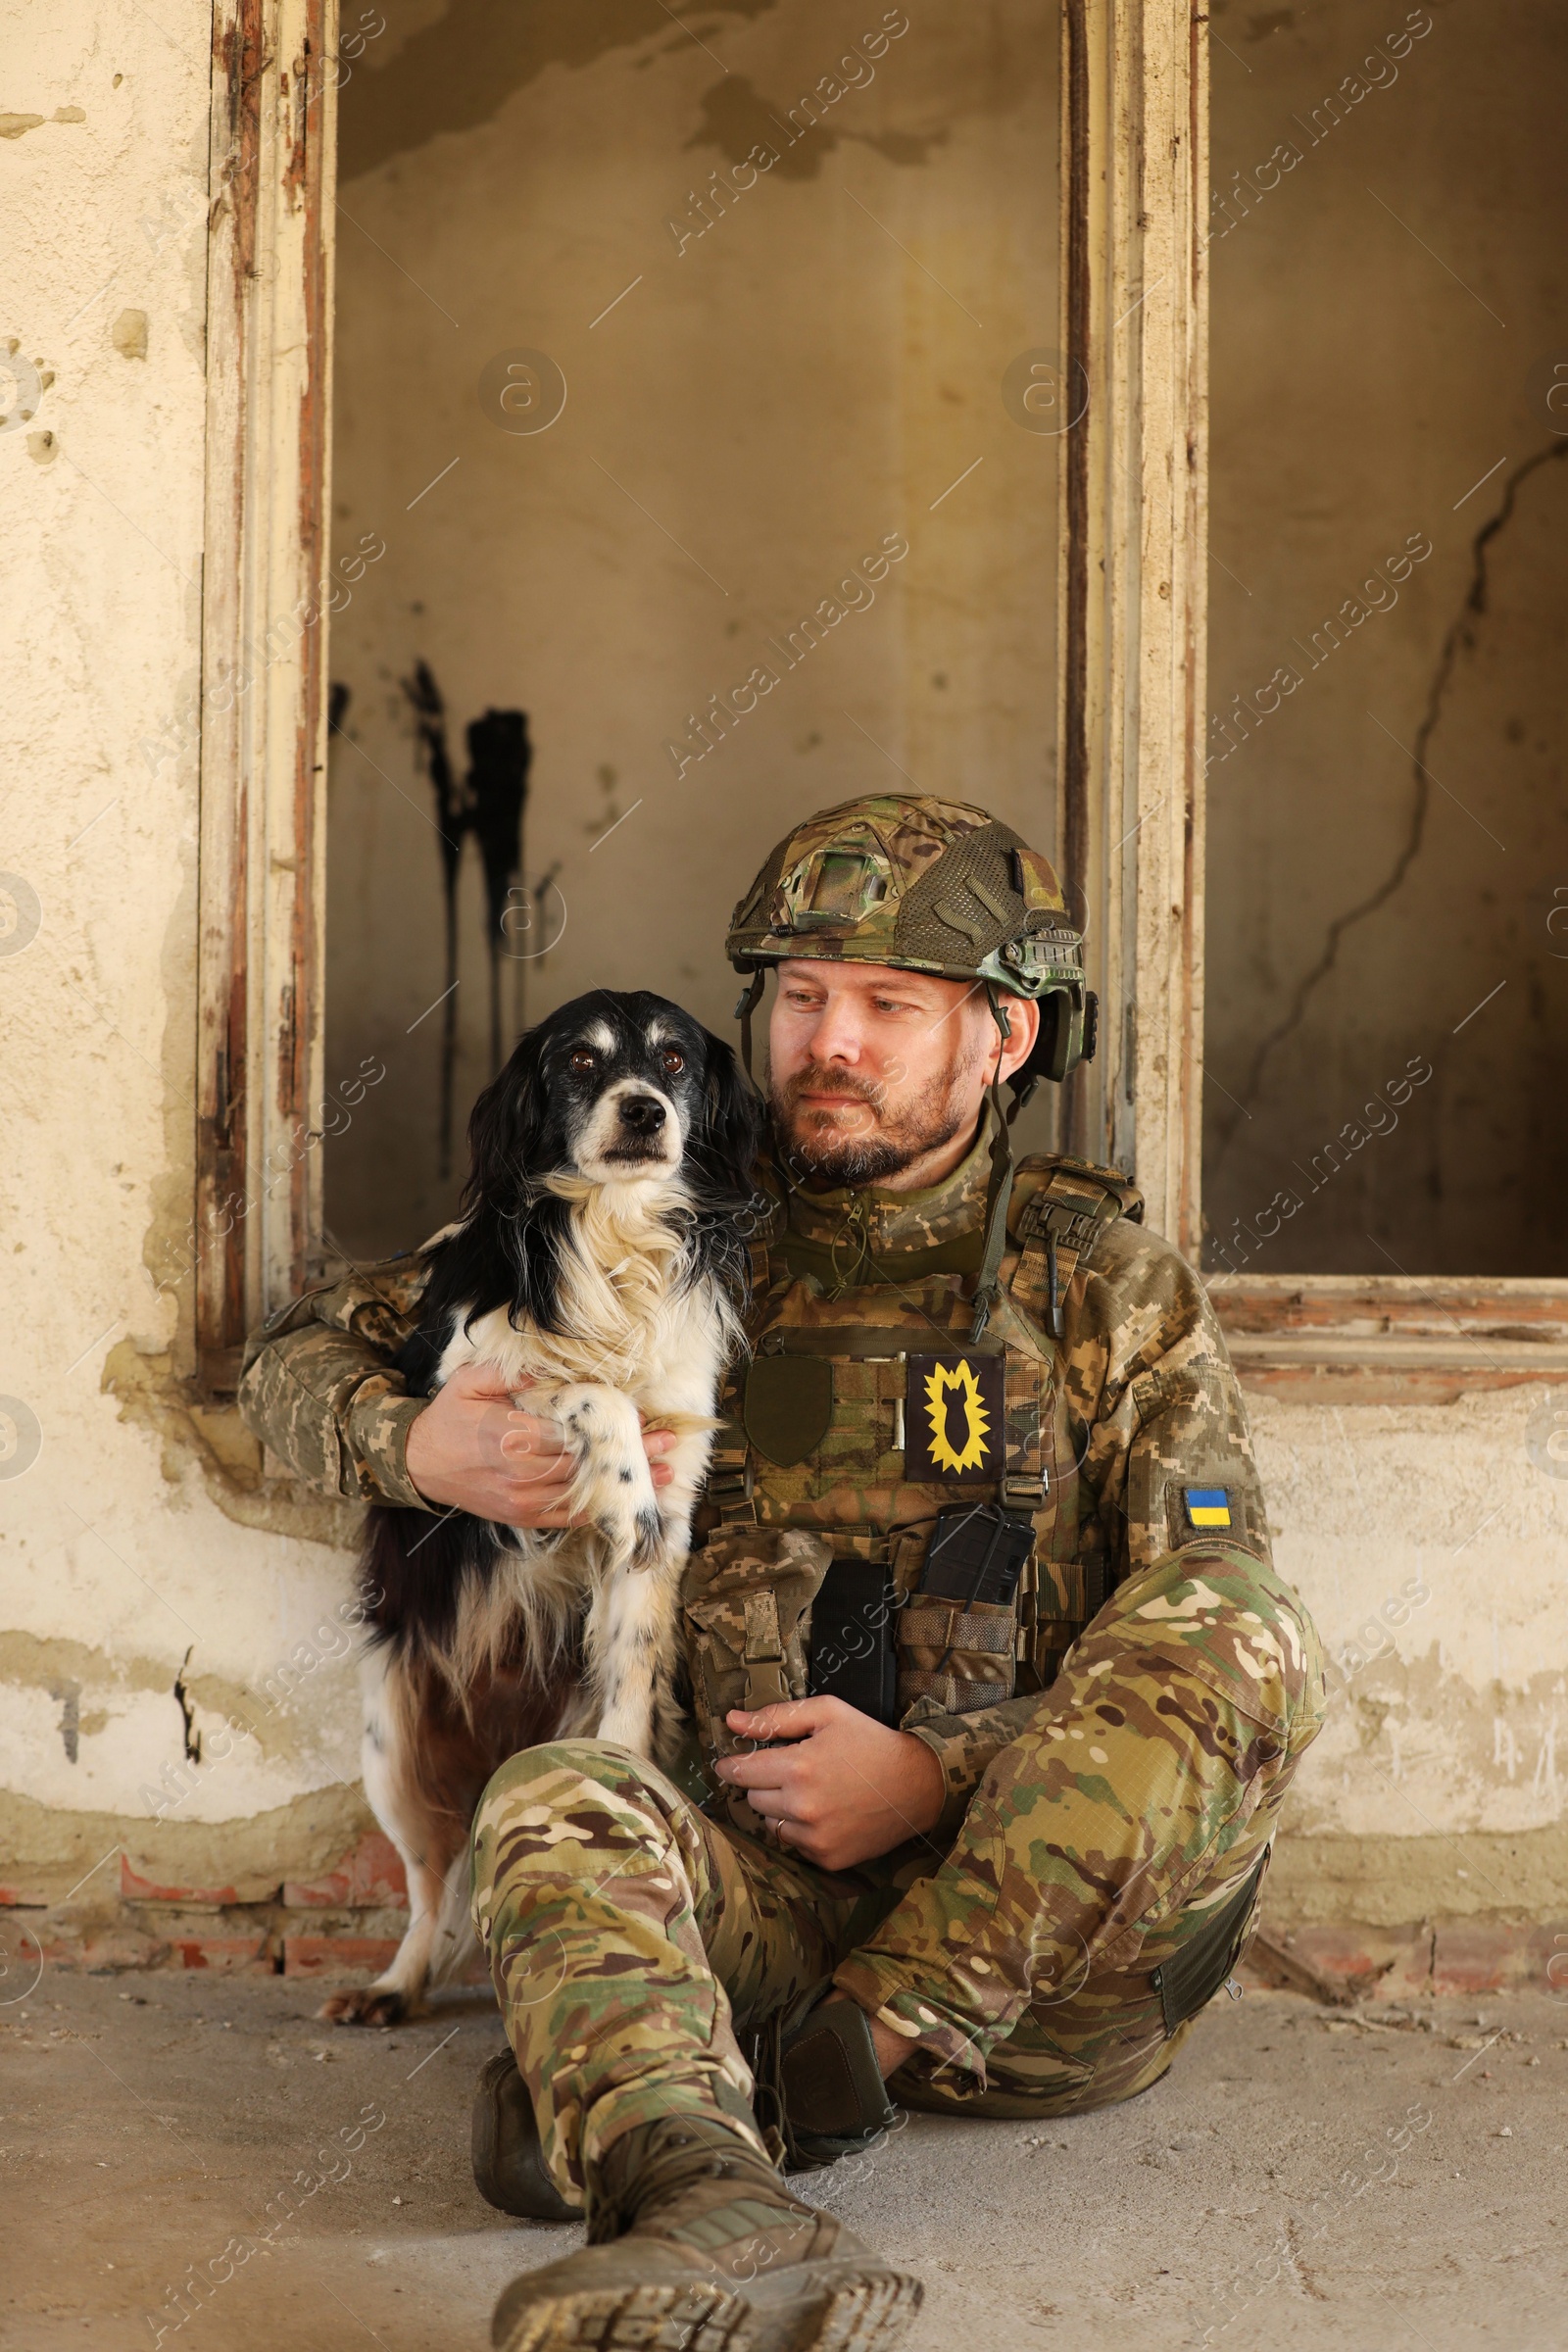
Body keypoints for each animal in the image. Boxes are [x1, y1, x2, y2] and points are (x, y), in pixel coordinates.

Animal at [321, 988, 761, 2023]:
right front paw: (618, 1474)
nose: (644, 1110)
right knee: (433, 1889)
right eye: (580, 1062)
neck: (612, 1233)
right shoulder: (472, 1404)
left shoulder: (676, 1494)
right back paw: (394, 1985)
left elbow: (633, 1678)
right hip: (392, 1753)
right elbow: (582, 1389)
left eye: (674, 1060)